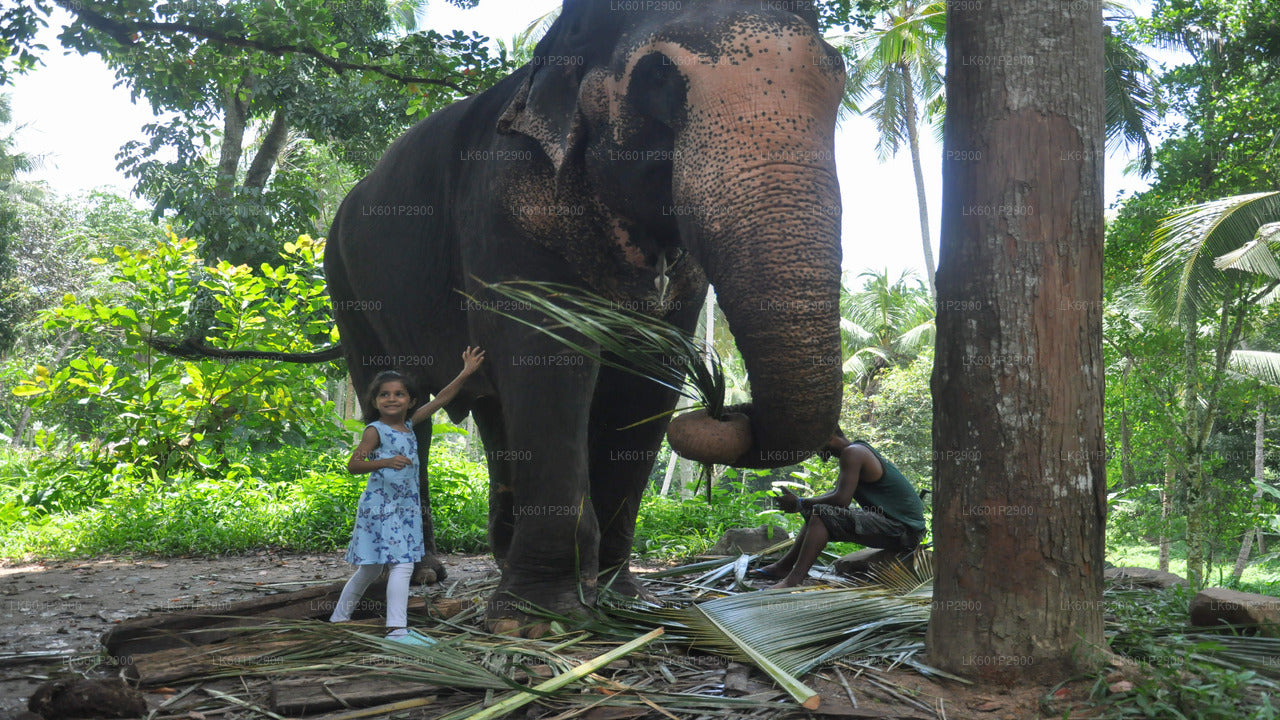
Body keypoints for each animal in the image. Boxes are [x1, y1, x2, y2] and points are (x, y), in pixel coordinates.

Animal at [168, 0, 848, 632]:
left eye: (838, 73)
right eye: (658, 76)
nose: (727, 409)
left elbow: (646, 379)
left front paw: (620, 598)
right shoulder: (501, 204)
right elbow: (546, 359)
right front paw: (535, 617)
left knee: (493, 414)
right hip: (345, 280)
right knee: (396, 406)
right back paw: (421, 573)